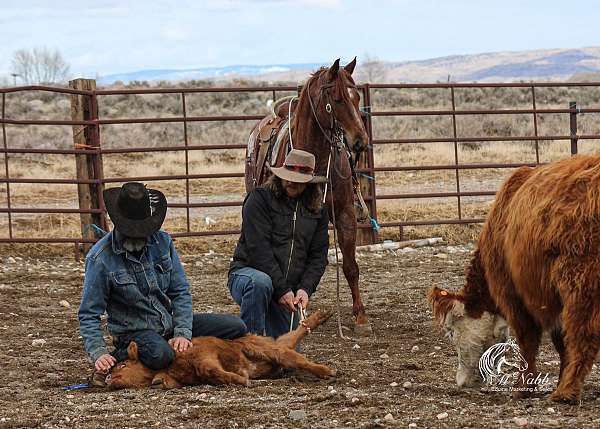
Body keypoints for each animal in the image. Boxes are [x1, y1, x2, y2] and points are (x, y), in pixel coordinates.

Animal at [106, 308, 332, 388]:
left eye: (123, 365)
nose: (108, 377)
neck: (171, 366)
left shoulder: (203, 356)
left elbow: (211, 370)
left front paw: (242, 379)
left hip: (263, 348)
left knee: (295, 357)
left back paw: (326, 371)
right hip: (271, 347)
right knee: (291, 339)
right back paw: (320, 317)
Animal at [244, 57, 370, 332]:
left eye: (357, 97)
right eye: (338, 99)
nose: (360, 142)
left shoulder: (345, 213)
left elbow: (351, 266)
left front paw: (360, 315)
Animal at [428, 155, 600, 402]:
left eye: (450, 332)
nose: (460, 381)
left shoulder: (516, 296)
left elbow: (529, 341)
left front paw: (522, 388)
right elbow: (560, 344)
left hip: (581, 285)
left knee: (582, 335)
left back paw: (565, 392)